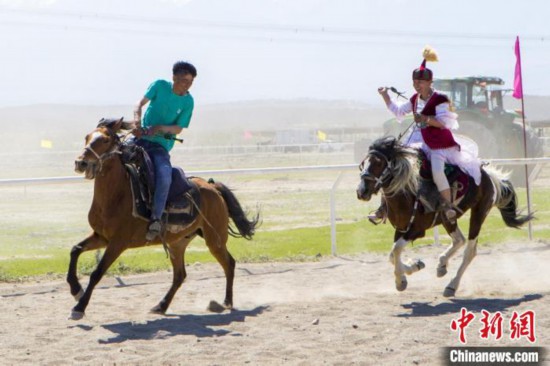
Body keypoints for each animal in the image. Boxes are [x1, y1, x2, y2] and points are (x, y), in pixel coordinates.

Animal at [68, 118, 260, 318]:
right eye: (87, 137)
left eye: (105, 140)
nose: (80, 163)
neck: (118, 195)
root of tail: (212, 187)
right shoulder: (101, 237)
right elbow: (75, 250)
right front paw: (75, 290)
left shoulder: (117, 243)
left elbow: (97, 273)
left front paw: (79, 307)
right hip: (178, 243)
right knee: (180, 275)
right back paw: (161, 305)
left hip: (215, 239)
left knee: (229, 264)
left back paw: (227, 302)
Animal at [358, 136, 536, 296]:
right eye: (363, 164)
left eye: (379, 163)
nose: (361, 191)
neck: (407, 194)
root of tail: (489, 176)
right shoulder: (401, 229)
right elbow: (392, 254)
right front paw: (414, 266)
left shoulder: (416, 230)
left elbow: (395, 250)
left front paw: (400, 281)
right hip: (448, 218)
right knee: (459, 240)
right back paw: (441, 265)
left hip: (479, 212)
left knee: (469, 250)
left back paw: (452, 285)